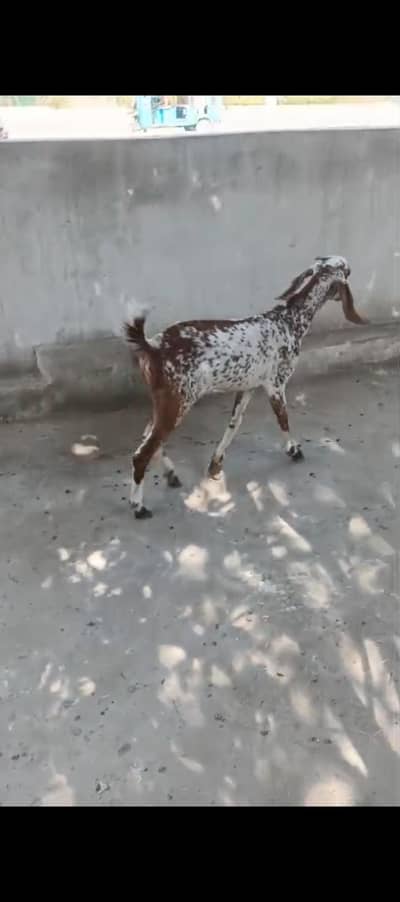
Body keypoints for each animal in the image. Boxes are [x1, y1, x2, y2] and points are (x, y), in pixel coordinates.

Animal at [124, 255, 367, 518]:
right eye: (348, 271)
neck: (289, 320)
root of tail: (152, 346)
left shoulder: (247, 387)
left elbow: (234, 424)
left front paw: (216, 463)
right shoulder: (276, 384)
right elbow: (283, 419)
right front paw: (294, 450)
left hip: (165, 402)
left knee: (148, 437)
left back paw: (170, 475)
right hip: (178, 402)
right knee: (142, 453)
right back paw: (138, 506)